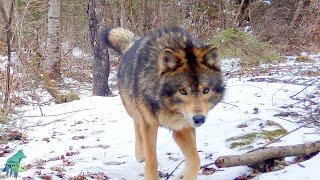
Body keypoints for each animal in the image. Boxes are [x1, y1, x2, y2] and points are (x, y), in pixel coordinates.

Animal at [103, 27, 225, 180]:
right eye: (183, 91)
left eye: (206, 90)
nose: (199, 119)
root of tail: (131, 45)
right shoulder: (149, 124)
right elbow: (152, 161)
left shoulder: (182, 128)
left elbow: (196, 159)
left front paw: (184, 175)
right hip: (133, 109)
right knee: (137, 125)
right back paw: (140, 154)